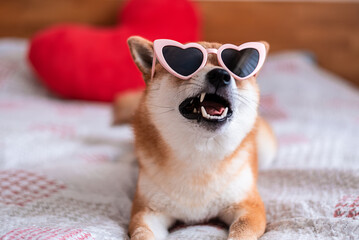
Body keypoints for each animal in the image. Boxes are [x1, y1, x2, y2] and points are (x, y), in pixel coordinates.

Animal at [114, 36, 278, 240]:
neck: (200, 153)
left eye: (236, 68)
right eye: (185, 63)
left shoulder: (249, 206)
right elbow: (142, 233)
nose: (220, 74)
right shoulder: (147, 211)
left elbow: (241, 231)